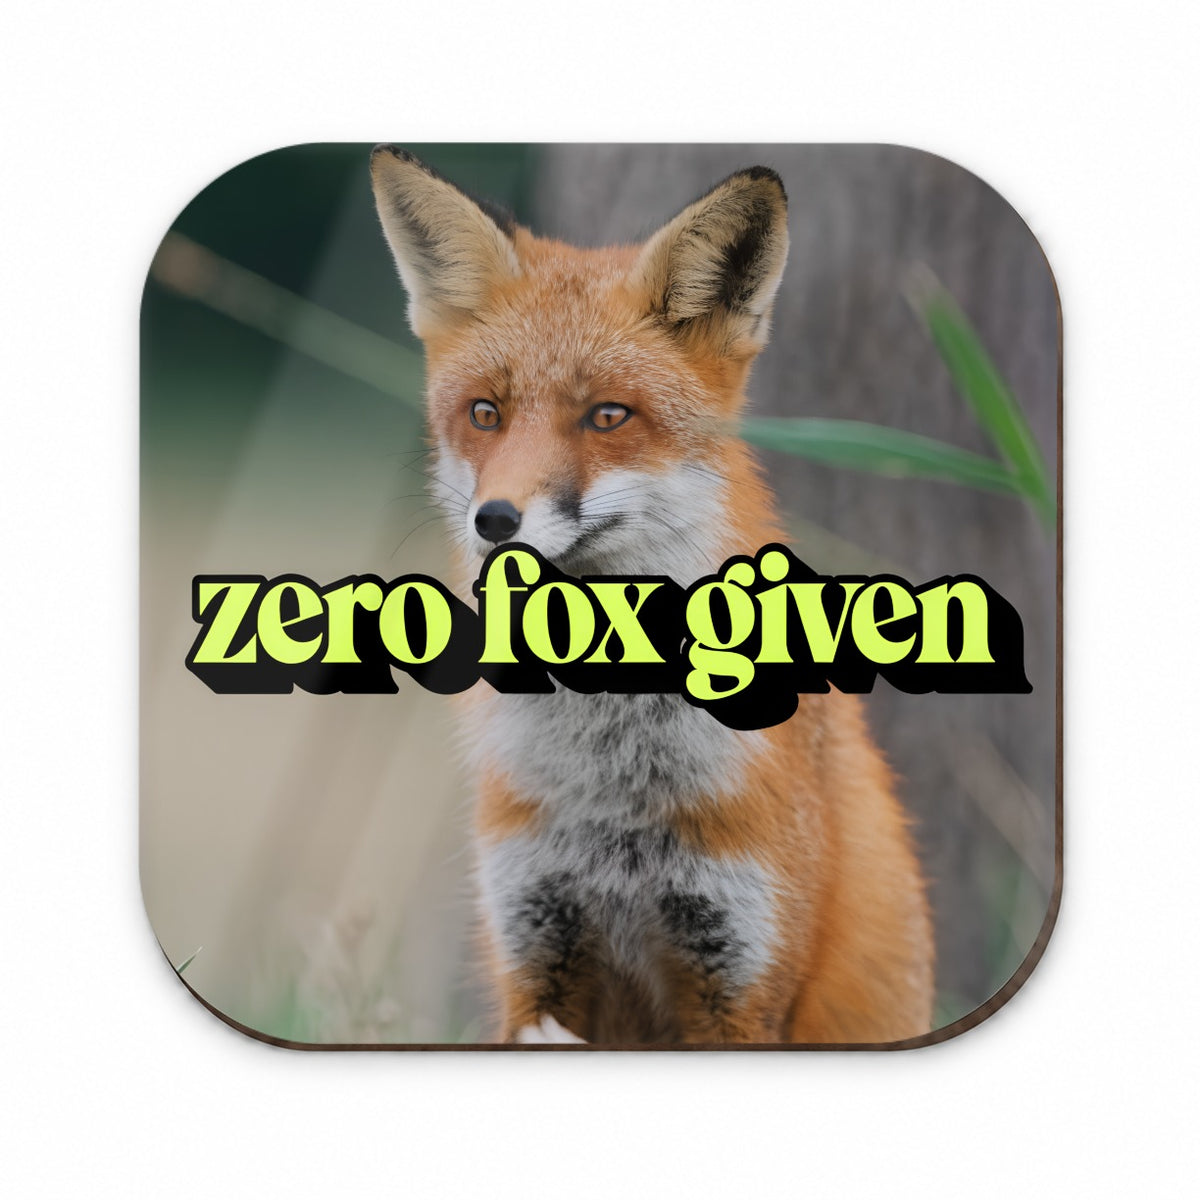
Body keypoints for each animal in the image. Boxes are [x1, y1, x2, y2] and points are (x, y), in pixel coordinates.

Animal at [370, 145, 935, 1045]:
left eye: (608, 416)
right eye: (485, 413)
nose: (495, 521)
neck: (615, 799)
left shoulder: (739, 976)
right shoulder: (535, 953)